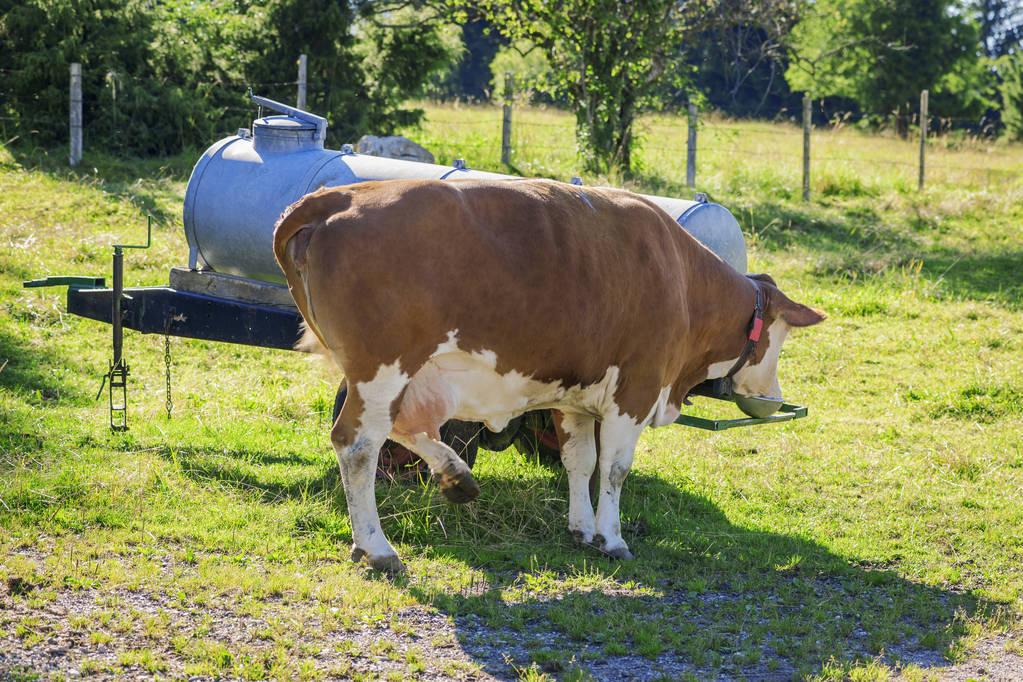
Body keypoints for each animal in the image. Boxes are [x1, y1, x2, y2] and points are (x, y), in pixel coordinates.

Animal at [274, 178, 822, 572]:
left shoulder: (574, 396)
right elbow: (615, 468)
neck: (681, 279)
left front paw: (582, 528)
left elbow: (580, 461)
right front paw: (613, 538)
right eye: (779, 340)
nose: (774, 397)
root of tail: (339, 195)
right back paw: (377, 546)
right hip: (382, 370)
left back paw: (456, 477)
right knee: (358, 445)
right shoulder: (636, 390)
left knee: (408, 427)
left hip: (410, 377)